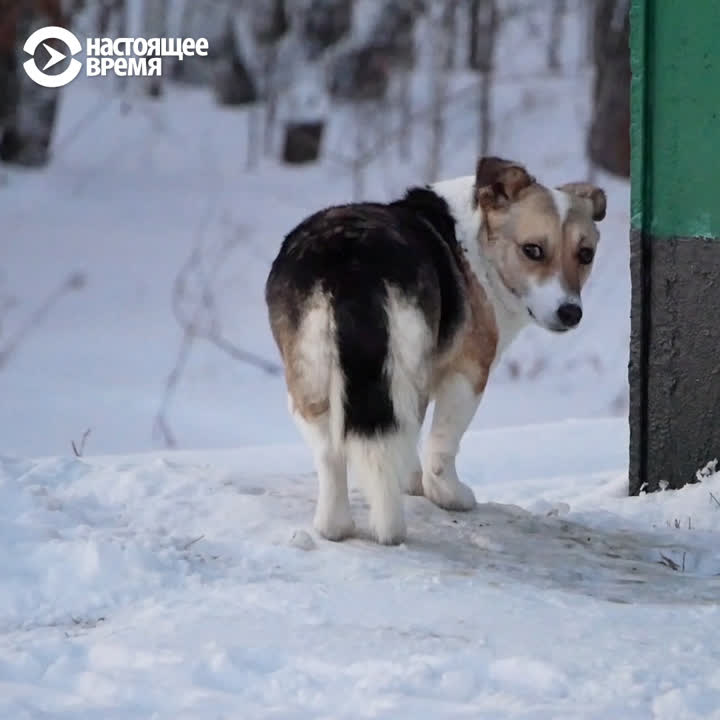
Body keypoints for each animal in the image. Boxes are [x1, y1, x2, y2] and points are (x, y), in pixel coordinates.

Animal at [268, 156, 604, 540]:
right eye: (533, 250)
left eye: (585, 254)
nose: (571, 313)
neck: (477, 246)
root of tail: (348, 262)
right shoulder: (467, 372)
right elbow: (442, 444)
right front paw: (447, 494)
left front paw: (410, 481)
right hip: (407, 365)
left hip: (308, 376)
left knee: (329, 454)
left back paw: (334, 526)